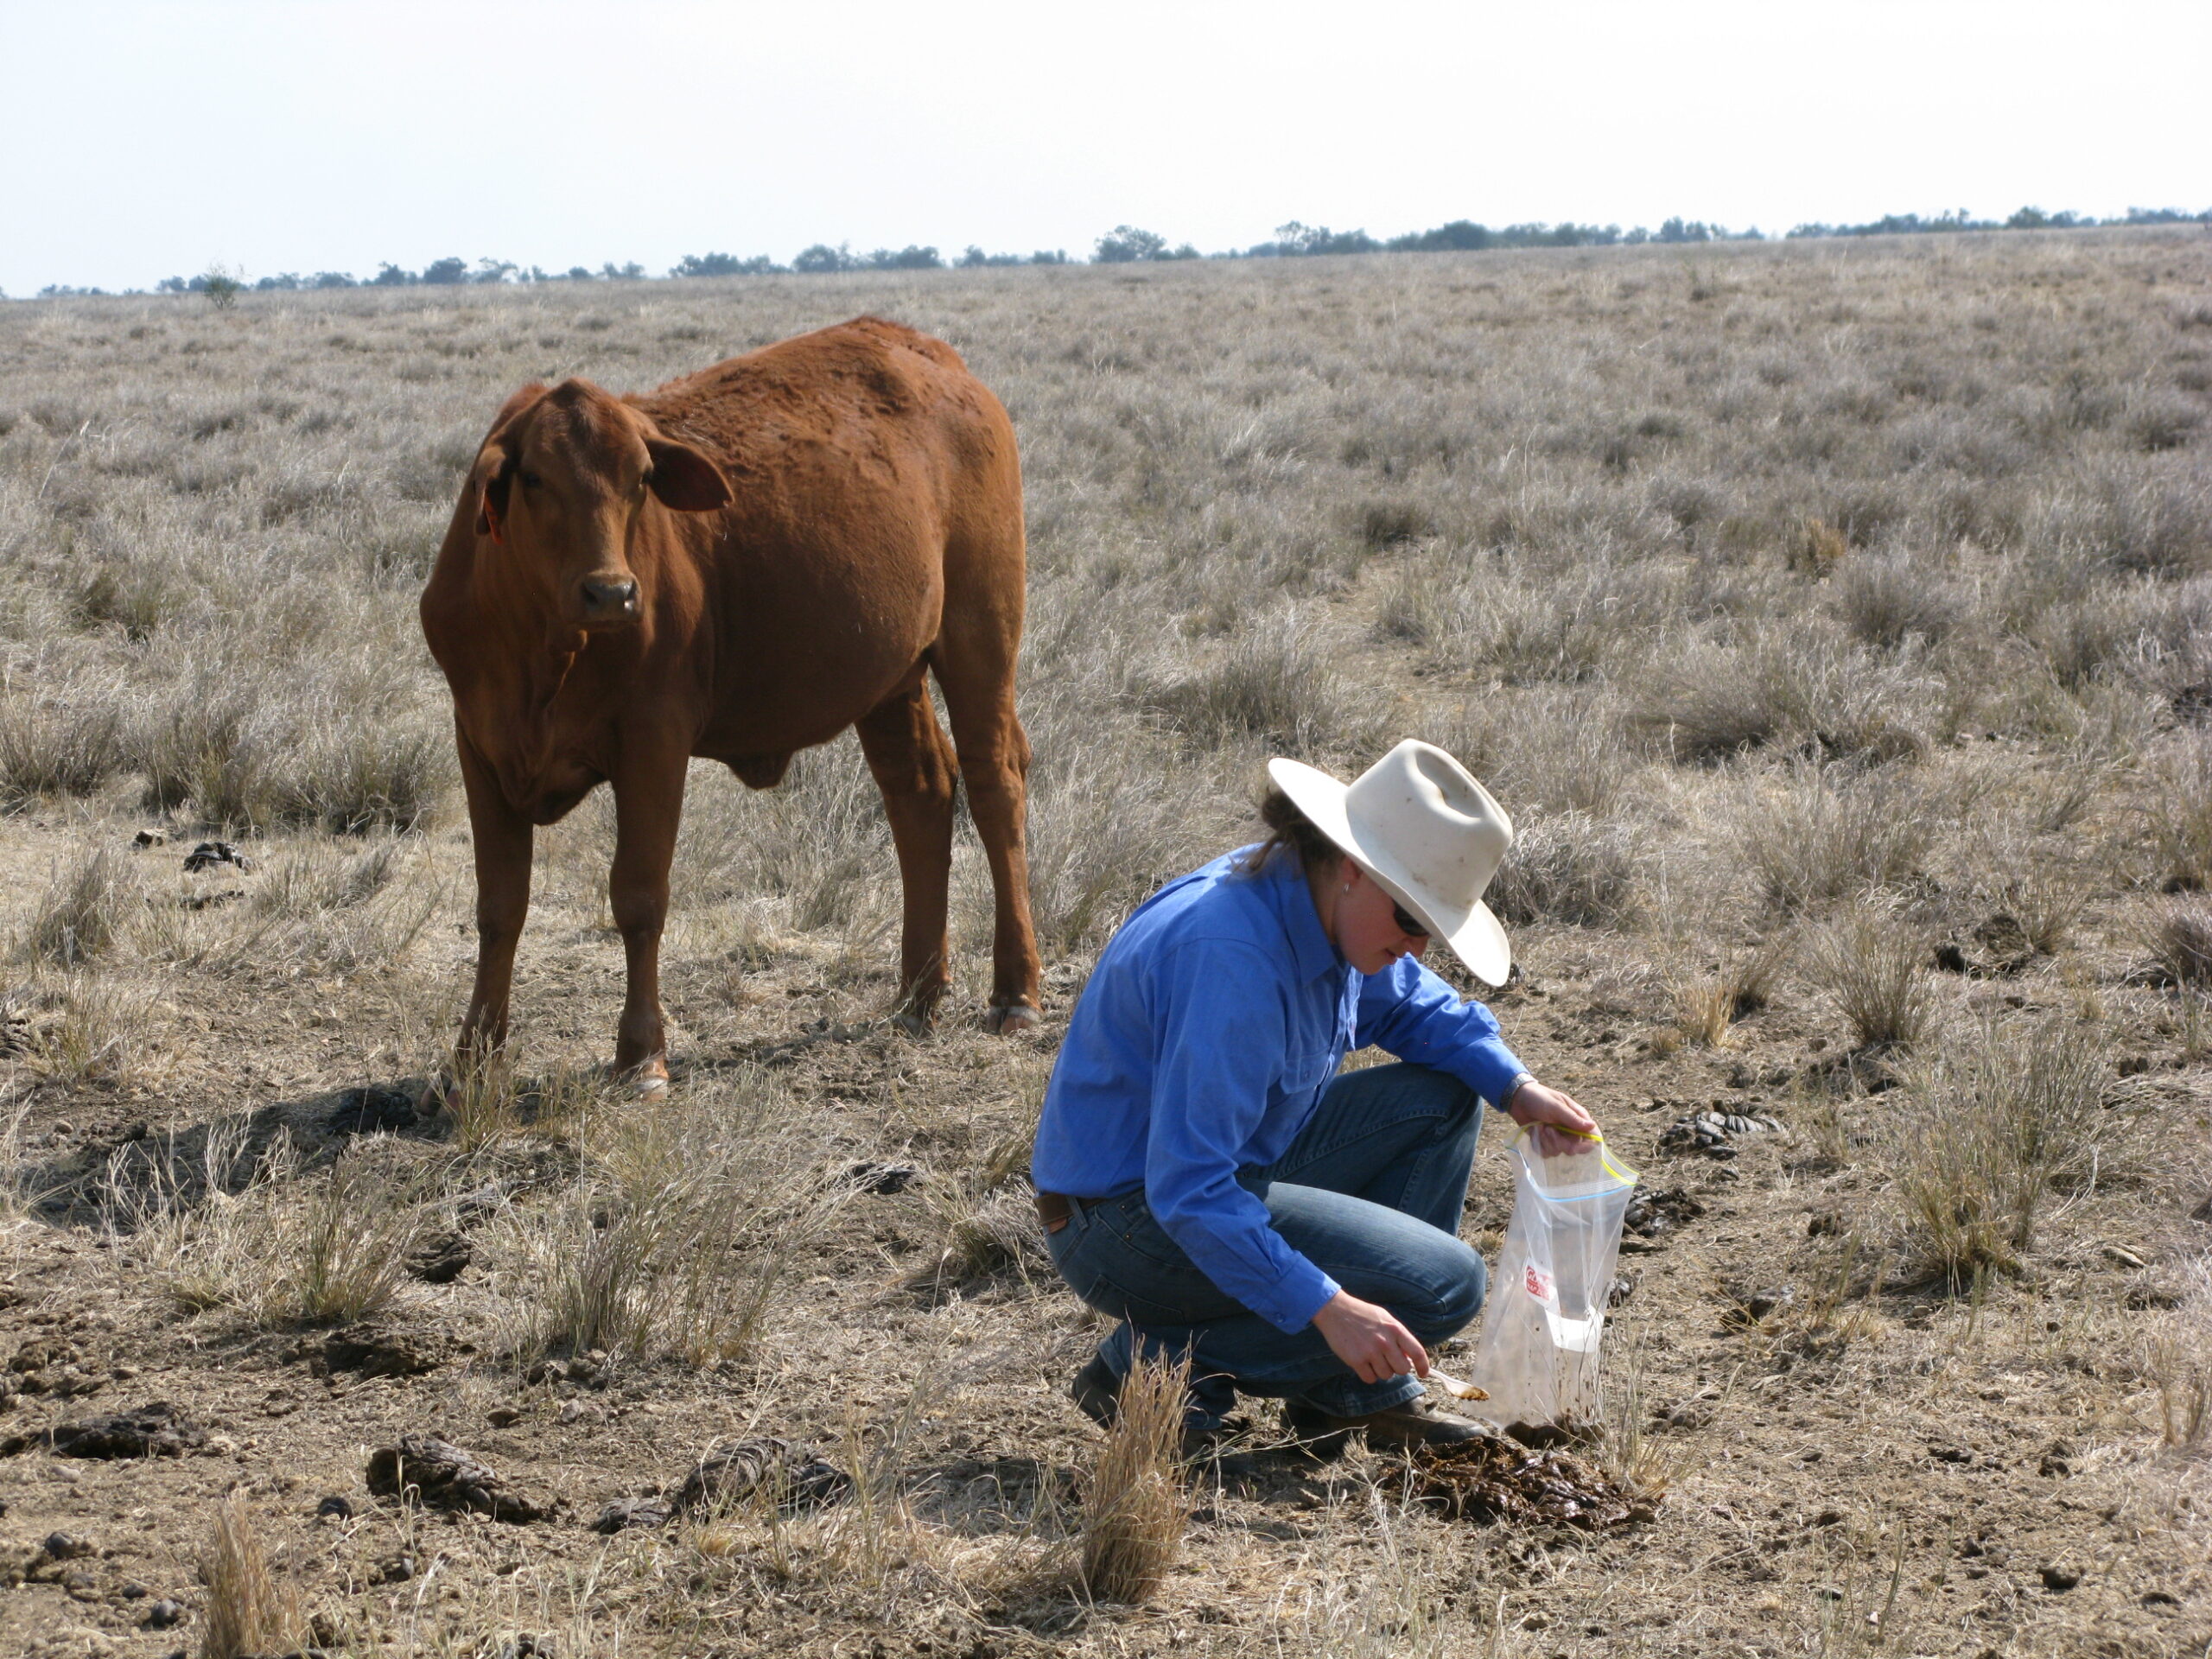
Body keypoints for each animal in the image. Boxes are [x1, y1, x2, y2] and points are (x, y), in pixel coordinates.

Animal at [417, 318, 1039, 1096]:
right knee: (920, 792)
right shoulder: (479, 743)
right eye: (534, 478)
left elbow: (639, 896)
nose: (612, 593)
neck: (543, 648)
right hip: (892, 677)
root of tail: (935, 358)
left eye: (641, 479)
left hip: (980, 634)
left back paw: (1015, 993)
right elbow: (500, 906)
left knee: (993, 785)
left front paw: (641, 1055)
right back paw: (918, 993)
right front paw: (471, 1059)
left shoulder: (654, 741)